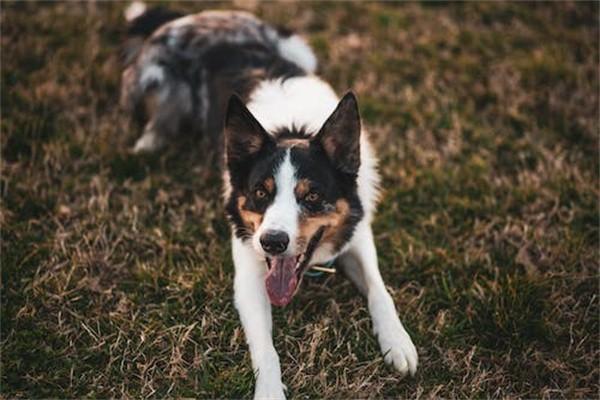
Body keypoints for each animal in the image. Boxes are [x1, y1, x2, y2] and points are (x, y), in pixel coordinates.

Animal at [121, 2, 418, 396]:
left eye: (312, 195)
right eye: (261, 192)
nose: (273, 243)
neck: (293, 130)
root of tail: (195, 16)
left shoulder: (358, 232)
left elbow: (379, 289)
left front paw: (397, 342)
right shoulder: (248, 272)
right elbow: (265, 349)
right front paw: (270, 392)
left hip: (297, 47)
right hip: (150, 76)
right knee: (159, 115)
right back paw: (147, 144)